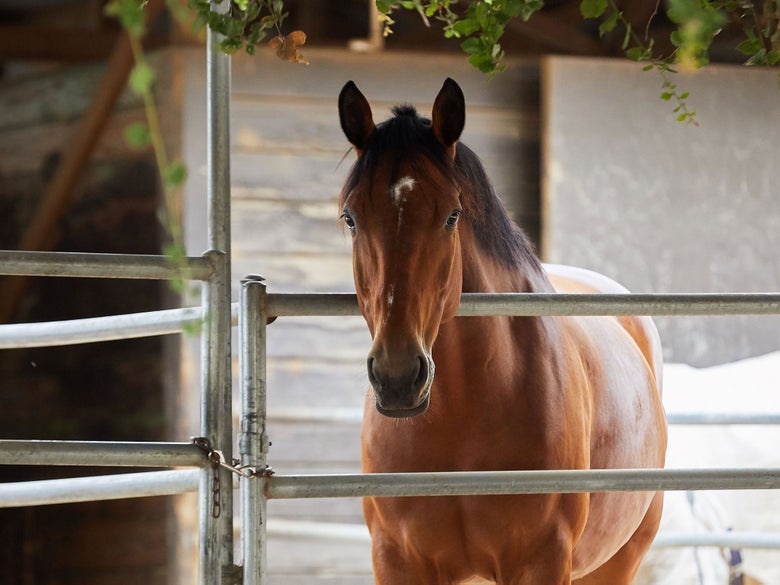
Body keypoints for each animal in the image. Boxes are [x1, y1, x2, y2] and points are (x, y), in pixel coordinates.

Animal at [337, 78, 668, 584]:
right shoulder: (396, 560)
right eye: (351, 218)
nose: (398, 377)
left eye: (452, 215)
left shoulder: (541, 561)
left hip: (618, 560)